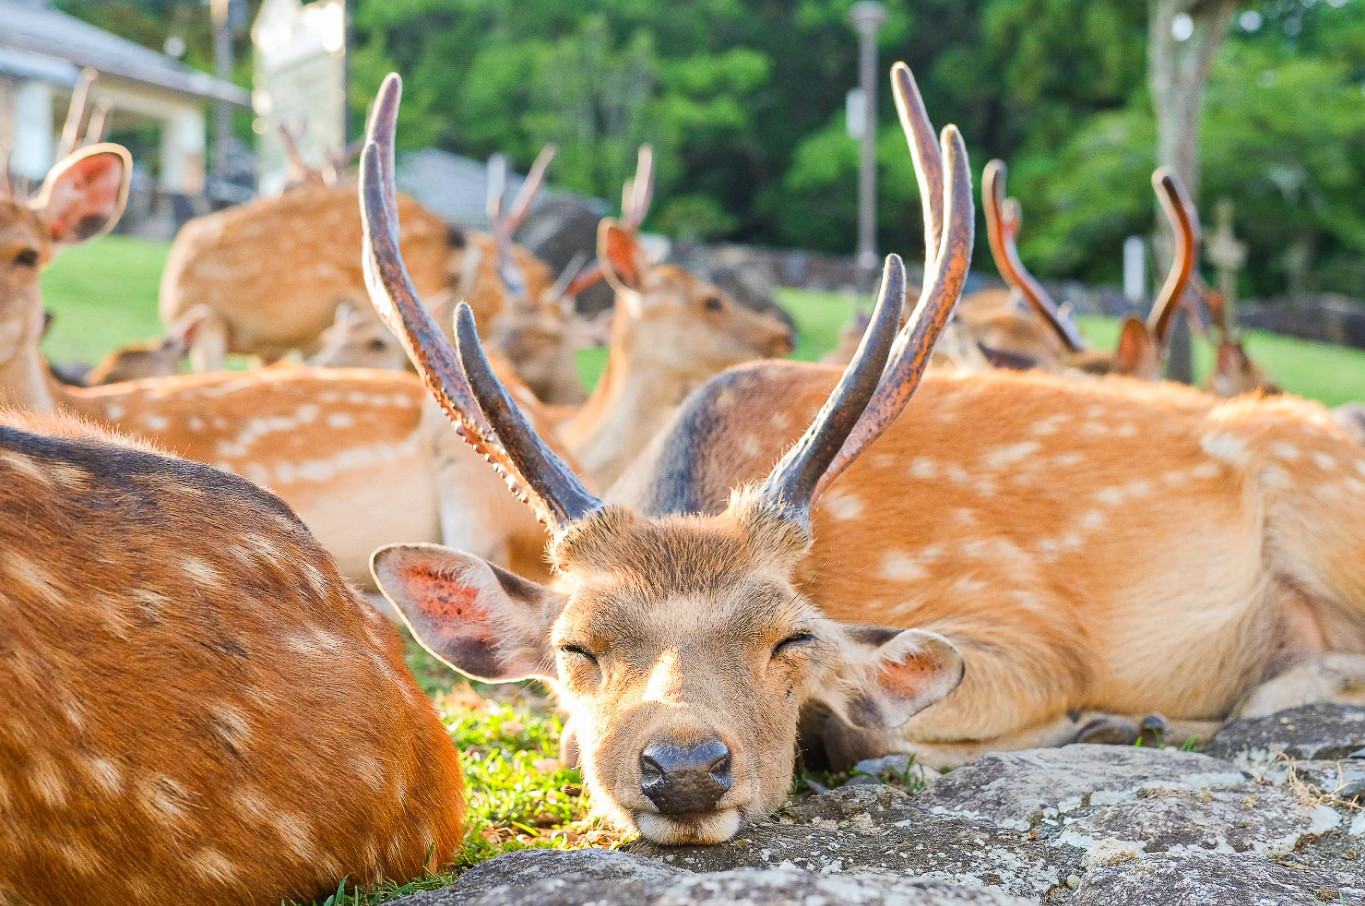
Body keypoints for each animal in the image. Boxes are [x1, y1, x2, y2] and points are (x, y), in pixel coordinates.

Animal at [363, 66, 1365, 848]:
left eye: (790, 637)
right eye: (576, 646)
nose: (685, 764)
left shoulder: (1029, 628)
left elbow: (862, 731)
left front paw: (1083, 723)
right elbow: (572, 741)